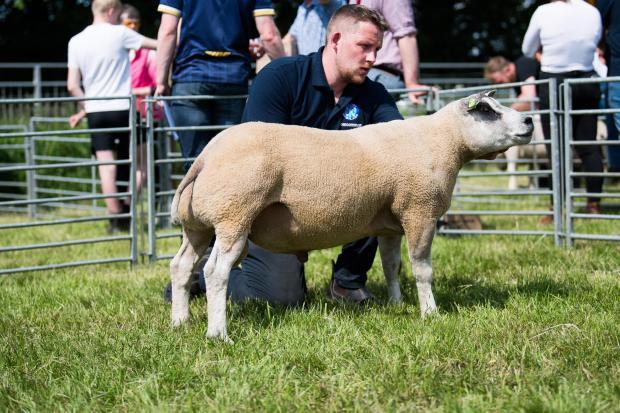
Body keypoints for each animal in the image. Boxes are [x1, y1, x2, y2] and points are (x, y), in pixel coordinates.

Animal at [170, 91, 532, 342]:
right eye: (486, 111)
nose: (529, 121)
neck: (445, 141)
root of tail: (205, 157)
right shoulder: (420, 209)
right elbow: (422, 269)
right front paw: (430, 312)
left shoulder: (391, 224)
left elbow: (391, 266)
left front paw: (396, 304)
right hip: (234, 213)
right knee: (216, 271)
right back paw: (218, 334)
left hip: (199, 226)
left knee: (181, 266)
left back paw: (180, 321)